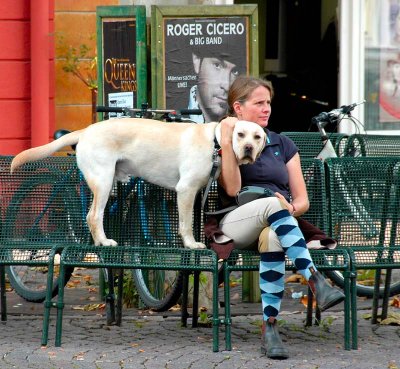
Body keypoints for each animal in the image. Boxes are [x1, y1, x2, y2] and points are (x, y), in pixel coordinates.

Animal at [10, 119, 266, 249]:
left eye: (257, 137)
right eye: (240, 134)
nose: (248, 149)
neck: (215, 142)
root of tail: (85, 130)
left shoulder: (198, 192)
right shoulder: (186, 190)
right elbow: (186, 224)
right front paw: (191, 244)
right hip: (103, 181)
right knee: (93, 216)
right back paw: (104, 241)